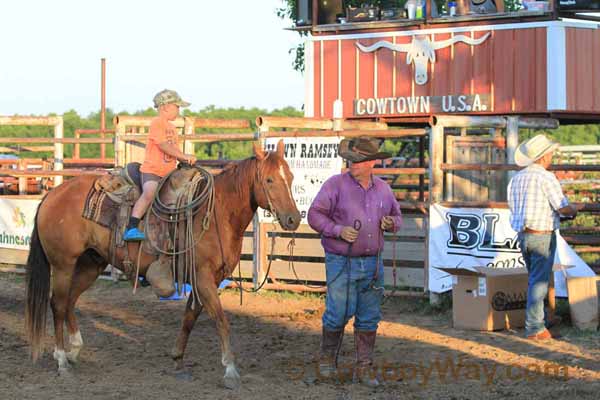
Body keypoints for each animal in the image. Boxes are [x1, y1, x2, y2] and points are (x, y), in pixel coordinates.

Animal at [24, 140, 300, 388]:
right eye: (269, 180)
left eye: (290, 177)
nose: (293, 219)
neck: (215, 214)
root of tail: (52, 194)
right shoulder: (204, 279)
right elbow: (221, 320)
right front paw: (230, 370)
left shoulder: (200, 283)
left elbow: (189, 318)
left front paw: (178, 360)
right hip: (63, 264)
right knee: (58, 304)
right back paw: (61, 360)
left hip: (91, 263)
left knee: (70, 301)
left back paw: (74, 350)